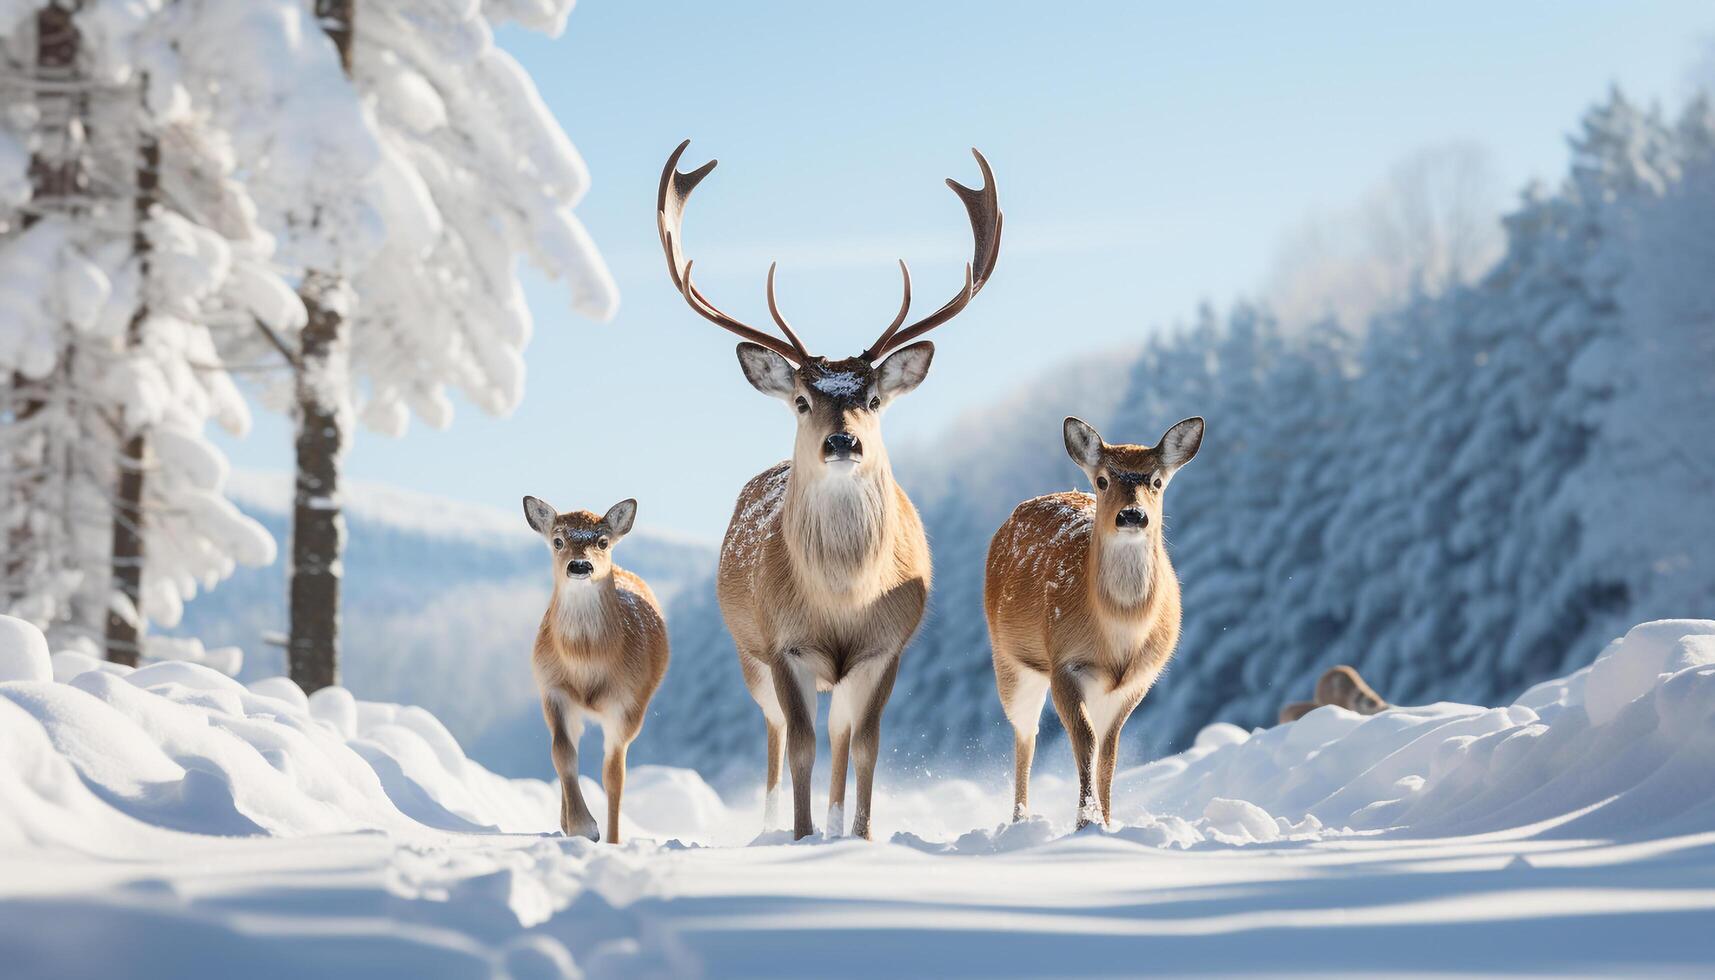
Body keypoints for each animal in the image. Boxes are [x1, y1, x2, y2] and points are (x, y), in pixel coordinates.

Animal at [517, 497, 665, 844]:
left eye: (602, 541)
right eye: (558, 540)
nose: (580, 566)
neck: (586, 663)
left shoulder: (628, 704)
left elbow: (614, 776)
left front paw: (610, 839)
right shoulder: (552, 688)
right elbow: (562, 753)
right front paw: (584, 826)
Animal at [655, 139, 1001, 844]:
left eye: (871, 398)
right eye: (800, 400)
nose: (843, 442)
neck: (841, 603)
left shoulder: (887, 647)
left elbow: (864, 745)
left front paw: (857, 836)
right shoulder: (782, 642)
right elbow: (801, 745)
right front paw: (801, 834)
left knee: (840, 735)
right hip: (749, 655)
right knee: (775, 732)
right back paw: (767, 824)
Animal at [987, 413, 1200, 827]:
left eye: (1156, 481)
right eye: (1102, 480)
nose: (1132, 515)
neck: (1119, 634)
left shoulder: (1138, 679)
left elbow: (1109, 751)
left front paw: (1107, 822)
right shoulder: (1065, 661)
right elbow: (1084, 740)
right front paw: (1086, 821)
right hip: (1008, 659)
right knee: (1025, 734)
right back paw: (1019, 820)